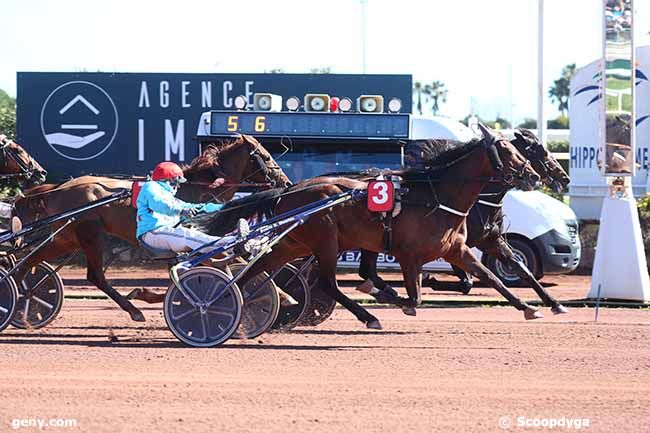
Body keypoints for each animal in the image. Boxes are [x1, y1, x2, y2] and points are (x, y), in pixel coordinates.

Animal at [10, 134, 286, 320]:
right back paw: (133, 310)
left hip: (67, 238)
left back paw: (20, 295)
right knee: (95, 276)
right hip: (90, 234)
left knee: (30, 260)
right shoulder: (190, 244)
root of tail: (58, 188)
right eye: (266, 156)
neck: (197, 189)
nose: (284, 181)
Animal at [197, 123, 540, 326]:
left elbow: (490, 278)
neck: (436, 195)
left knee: (257, 269)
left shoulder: (457, 250)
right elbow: (413, 297)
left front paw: (528, 306)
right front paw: (390, 297)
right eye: (507, 150)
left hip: (295, 242)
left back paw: (228, 302)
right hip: (326, 241)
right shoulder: (408, 255)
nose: (533, 175)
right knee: (327, 284)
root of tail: (290, 190)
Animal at [356, 126, 568, 312]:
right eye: (539, 150)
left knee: (367, 272)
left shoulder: (490, 240)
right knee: (367, 271)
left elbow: (521, 268)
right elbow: (467, 281)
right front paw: (431, 279)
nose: (565, 177)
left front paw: (554, 303)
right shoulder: (456, 245)